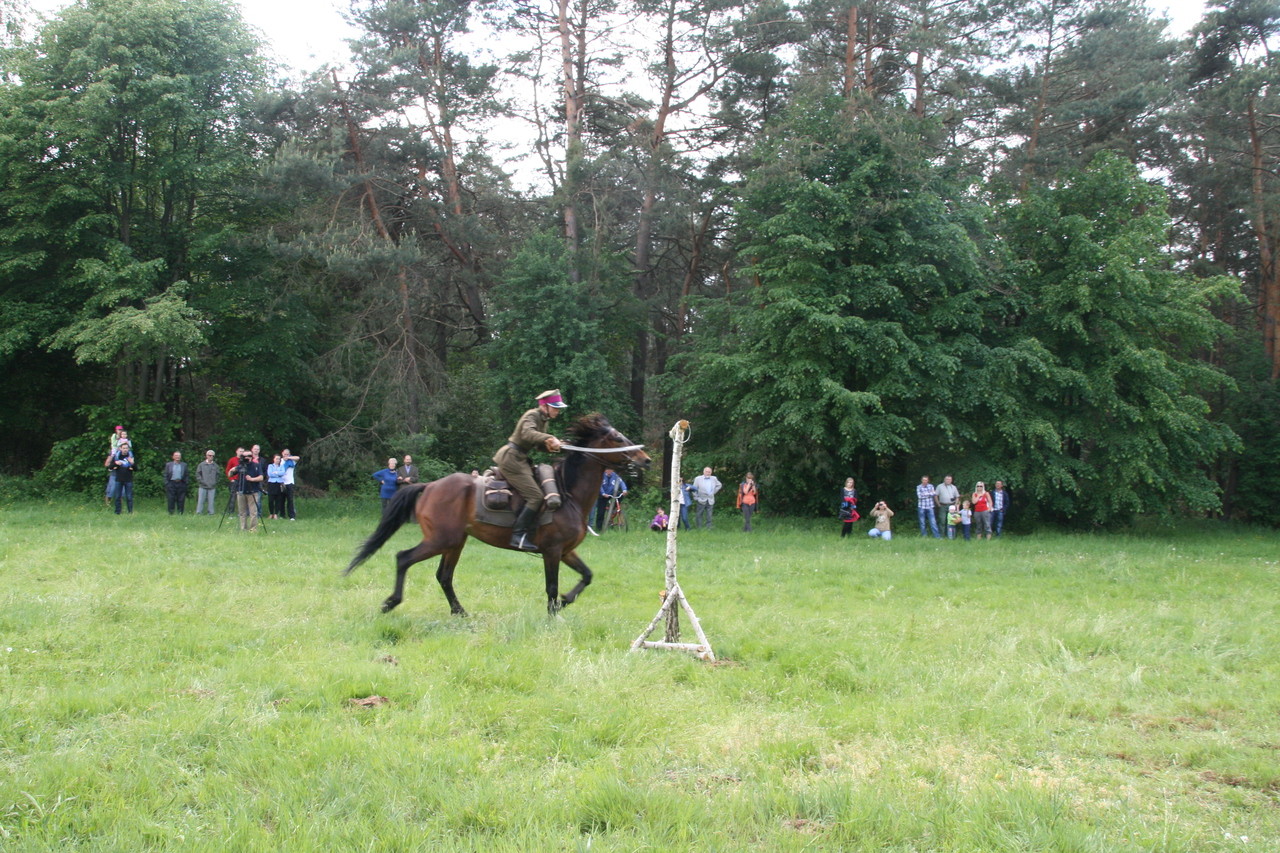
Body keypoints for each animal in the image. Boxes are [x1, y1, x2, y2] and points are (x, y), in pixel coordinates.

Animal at [345, 409, 650, 612]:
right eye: (616, 437)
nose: (645, 459)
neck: (569, 493)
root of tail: (429, 486)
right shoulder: (552, 551)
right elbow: (551, 586)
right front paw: (554, 612)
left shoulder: (565, 551)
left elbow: (586, 575)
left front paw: (565, 601)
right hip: (440, 540)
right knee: (404, 558)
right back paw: (391, 602)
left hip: (455, 542)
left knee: (444, 576)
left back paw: (460, 612)